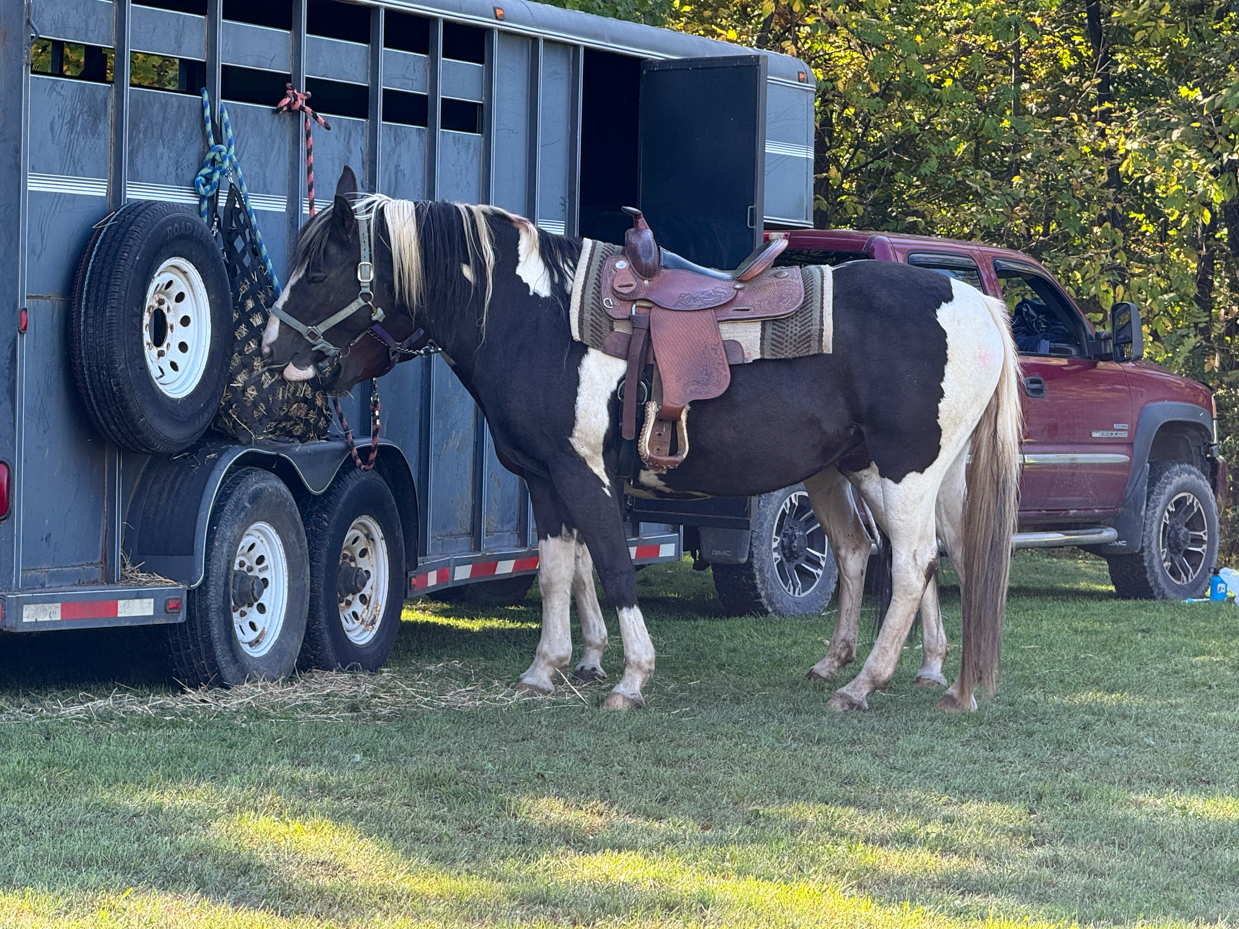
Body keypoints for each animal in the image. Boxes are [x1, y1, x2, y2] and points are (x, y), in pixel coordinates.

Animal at [261, 167, 1015, 718]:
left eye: (319, 271)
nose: (273, 352)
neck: (536, 318)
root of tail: (976, 304)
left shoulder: (585, 472)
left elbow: (612, 567)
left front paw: (630, 678)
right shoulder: (545, 478)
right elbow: (557, 571)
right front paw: (547, 669)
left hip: (905, 471)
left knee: (912, 562)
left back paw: (863, 684)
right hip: (893, 473)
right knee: (918, 555)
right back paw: (938, 678)